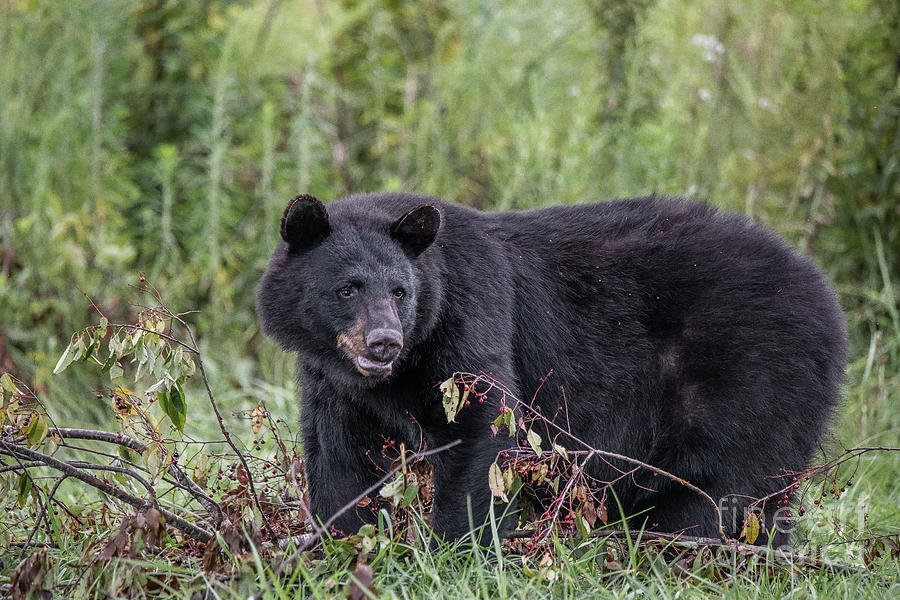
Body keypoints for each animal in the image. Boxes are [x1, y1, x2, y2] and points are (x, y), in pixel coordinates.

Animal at [256, 193, 848, 544]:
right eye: (348, 288)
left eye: (401, 291)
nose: (384, 342)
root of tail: (828, 300)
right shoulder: (333, 382)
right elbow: (341, 459)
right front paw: (345, 541)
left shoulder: (470, 318)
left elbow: (484, 424)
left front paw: (459, 546)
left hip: (748, 376)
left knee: (722, 488)